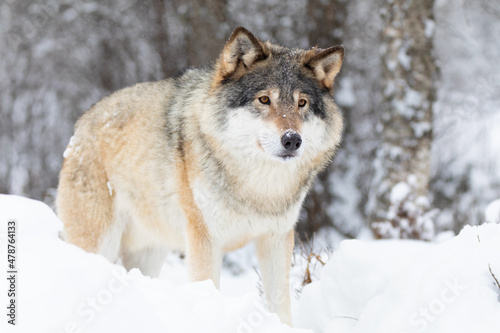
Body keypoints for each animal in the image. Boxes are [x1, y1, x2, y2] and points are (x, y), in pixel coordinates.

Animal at [55, 26, 344, 324]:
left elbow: (280, 303)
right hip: (99, 243)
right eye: (264, 99)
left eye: (302, 103)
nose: (292, 140)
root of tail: (81, 125)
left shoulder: (276, 239)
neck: (258, 189)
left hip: (149, 253)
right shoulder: (204, 240)